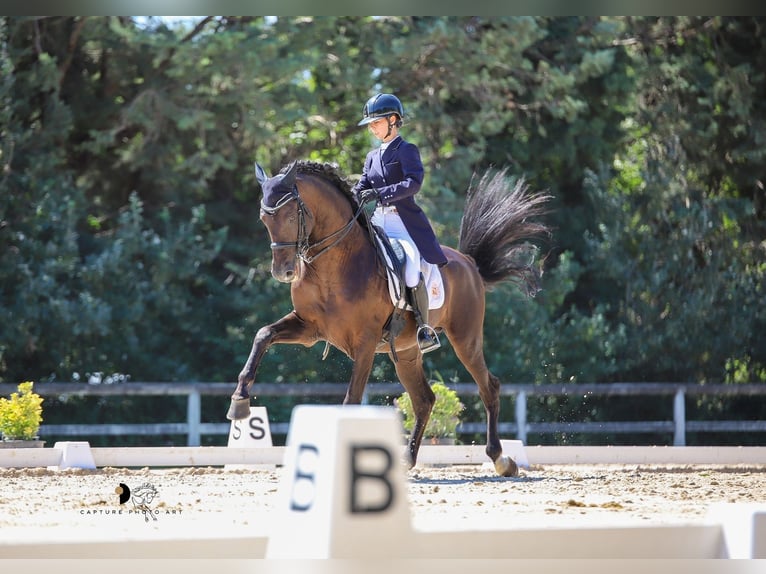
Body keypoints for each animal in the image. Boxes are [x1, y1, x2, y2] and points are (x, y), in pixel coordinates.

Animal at [227, 160, 550, 477]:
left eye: (291, 216)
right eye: (264, 219)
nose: (283, 272)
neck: (333, 266)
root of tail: (469, 263)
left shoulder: (365, 343)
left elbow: (352, 399)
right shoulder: (309, 328)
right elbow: (263, 335)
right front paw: (239, 402)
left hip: (465, 339)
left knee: (488, 387)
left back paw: (501, 459)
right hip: (406, 353)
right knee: (424, 400)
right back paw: (407, 460)